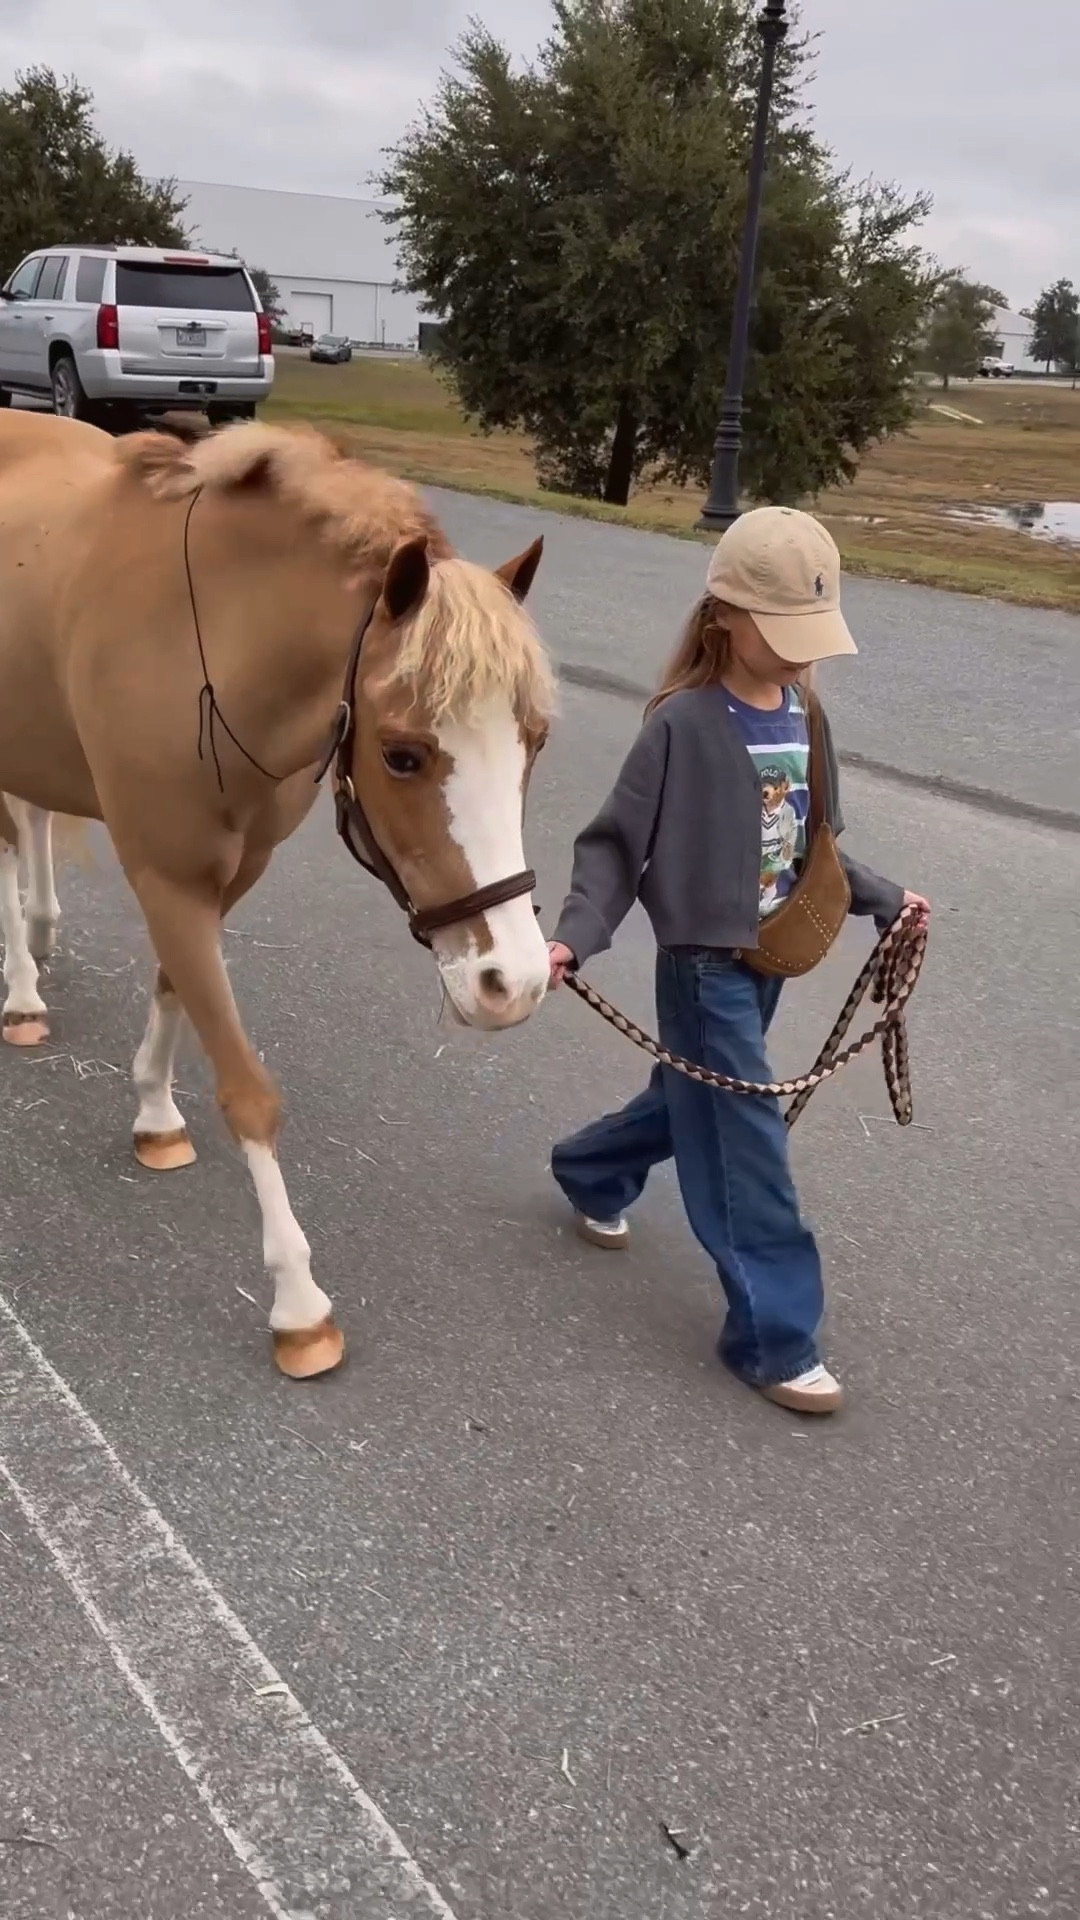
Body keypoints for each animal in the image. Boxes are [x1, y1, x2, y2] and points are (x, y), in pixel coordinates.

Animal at [0, 410, 554, 1379]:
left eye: (535, 741)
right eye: (403, 754)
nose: (512, 984)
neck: (208, 640)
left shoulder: (225, 873)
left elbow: (177, 991)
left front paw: (154, 1111)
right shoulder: (167, 875)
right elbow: (248, 1089)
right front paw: (298, 1302)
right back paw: (20, 993)